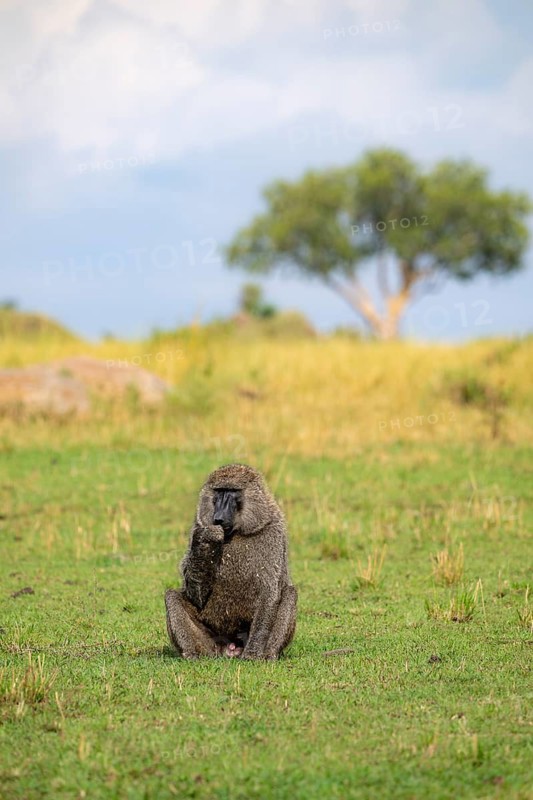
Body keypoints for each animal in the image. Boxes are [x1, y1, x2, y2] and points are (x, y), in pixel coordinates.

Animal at [165, 463, 297, 660]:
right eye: (219, 491)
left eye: (232, 491)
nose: (218, 517)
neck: (236, 533)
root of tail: (230, 647)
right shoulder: (198, 526)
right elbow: (196, 596)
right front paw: (204, 544)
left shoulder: (273, 531)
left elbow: (269, 593)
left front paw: (253, 653)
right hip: (211, 644)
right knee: (171, 596)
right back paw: (193, 655)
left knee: (290, 593)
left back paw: (269, 655)